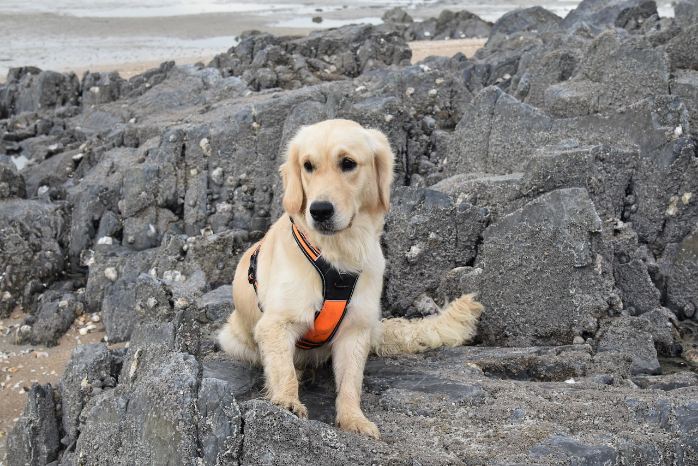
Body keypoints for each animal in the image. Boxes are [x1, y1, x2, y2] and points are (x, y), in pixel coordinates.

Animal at [220, 118, 482, 438]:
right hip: (233, 338)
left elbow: (350, 382)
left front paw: (353, 419)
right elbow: (283, 370)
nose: (319, 210)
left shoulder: (355, 330)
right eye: (307, 165)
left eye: (348, 163)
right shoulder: (275, 323)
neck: (338, 256)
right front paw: (287, 401)